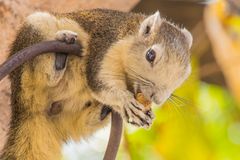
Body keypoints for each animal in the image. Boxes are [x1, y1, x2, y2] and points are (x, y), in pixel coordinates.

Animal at [0, 9, 191, 160]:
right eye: (150, 55)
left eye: (186, 72)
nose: (156, 98)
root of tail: (27, 108)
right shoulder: (105, 49)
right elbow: (101, 83)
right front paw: (126, 102)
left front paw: (146, 114)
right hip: (36, 32)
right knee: (42, 75)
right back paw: (59, 55)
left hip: (68, 118)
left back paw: (101, 112)